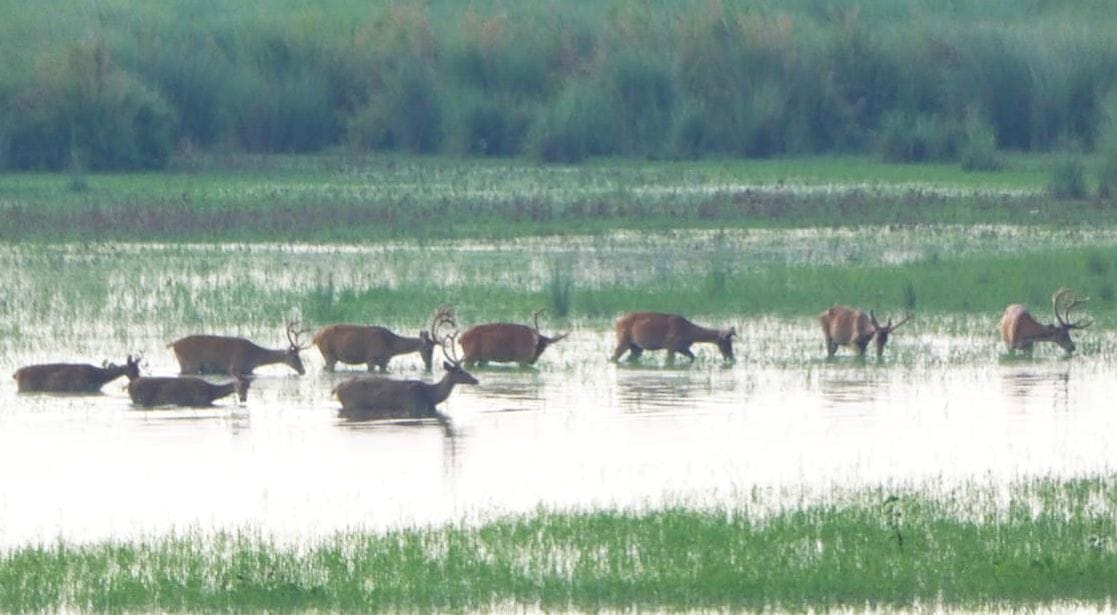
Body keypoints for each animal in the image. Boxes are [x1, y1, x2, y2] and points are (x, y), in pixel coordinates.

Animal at [13, 355, 141, 393]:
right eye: (134, 371)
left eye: (139, 370)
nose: (138, 379)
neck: (98, 377)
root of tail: (16, 374)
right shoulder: (82, 387)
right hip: (26, 387)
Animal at [168, 321, 310, 376]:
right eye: (295, 356)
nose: (303, 371)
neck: (255, 357)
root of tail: (174, 344)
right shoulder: (238, 367)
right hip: (190, 363)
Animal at [312, 306, 452, 372]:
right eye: (429, 349)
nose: (429, 365)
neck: (390, 345)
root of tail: (315, 337)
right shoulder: (371, 358)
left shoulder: (384, 362)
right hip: (328, 354)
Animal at [332, 313, 478, 424]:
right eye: (460, 371)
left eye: (464, 370)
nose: (475, 380)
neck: (431, 396)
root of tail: (337, 388)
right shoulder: (412, 406)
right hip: (350, 403)